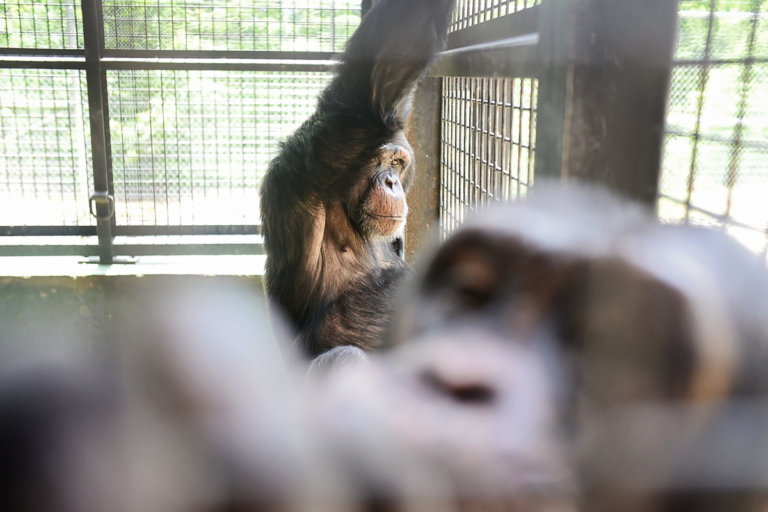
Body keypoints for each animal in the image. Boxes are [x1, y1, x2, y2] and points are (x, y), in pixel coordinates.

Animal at [260, 0, 460, 358]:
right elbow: (372, 81)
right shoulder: (330, 149)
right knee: (345, 357)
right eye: (378, 160)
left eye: (396, 162)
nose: (391, 181)